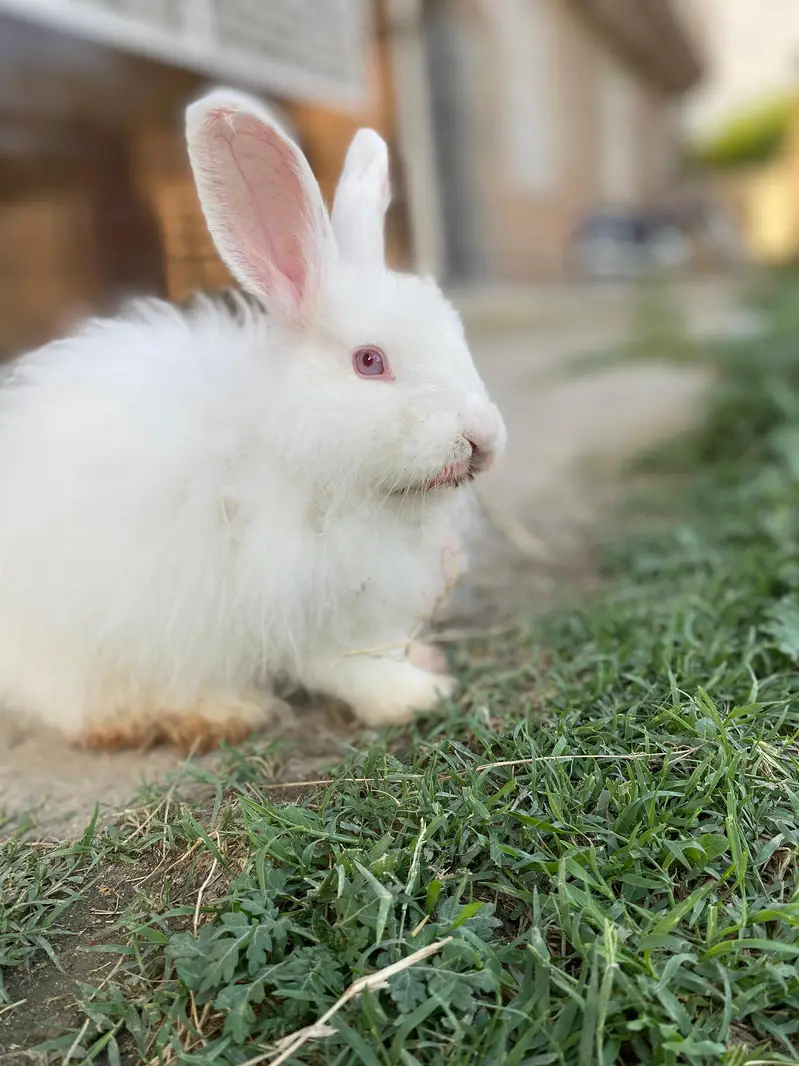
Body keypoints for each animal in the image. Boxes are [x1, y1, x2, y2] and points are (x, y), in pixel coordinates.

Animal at [0, 88, 506, 753]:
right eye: (369, 362)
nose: (484, 438)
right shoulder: (300, 607)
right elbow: (345, 668)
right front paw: (417, 696)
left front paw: (425, 663)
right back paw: (209, 713)